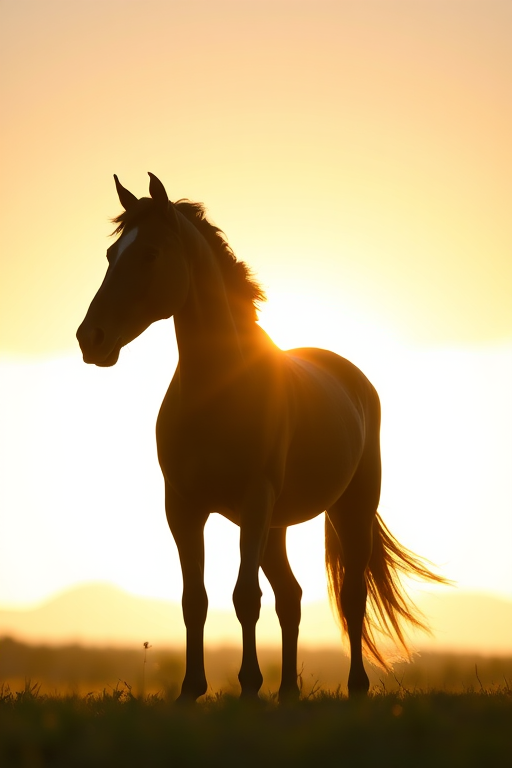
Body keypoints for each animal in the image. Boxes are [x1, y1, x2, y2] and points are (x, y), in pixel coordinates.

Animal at [77, 173, 447, 702]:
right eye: (111, 254)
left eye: (149, 253)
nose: (91, 338)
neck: (219, 390)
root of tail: (354, 379)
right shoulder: (182, 507)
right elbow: (195, 599)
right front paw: (191, 689)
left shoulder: (253, 500)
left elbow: (244, 596)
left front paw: (248, 685)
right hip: (277, 526)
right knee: (290, 596)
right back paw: (288, 691)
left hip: (349, 509)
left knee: (352, 596)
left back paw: (355, 687)